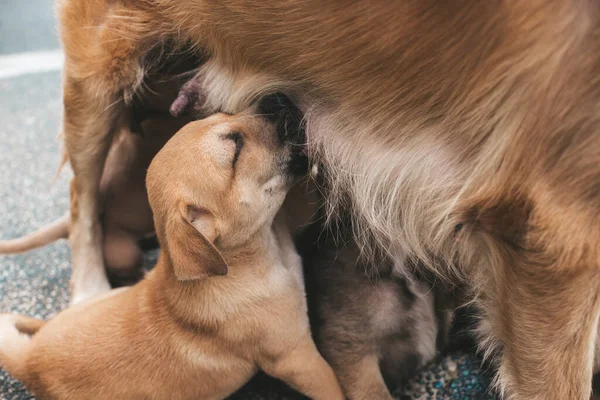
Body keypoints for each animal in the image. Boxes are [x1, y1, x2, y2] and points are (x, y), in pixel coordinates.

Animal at [0, 96, 342, 400]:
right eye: (235, 149)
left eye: (223, 115)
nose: (278, 96)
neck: (244, 258)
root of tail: (29, 360)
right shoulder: (297, 358)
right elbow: (335, 388)